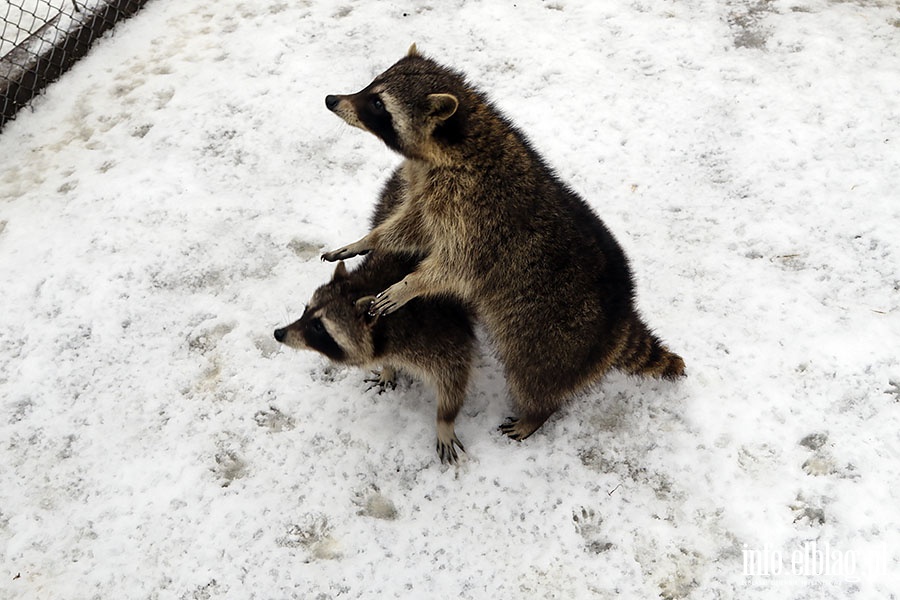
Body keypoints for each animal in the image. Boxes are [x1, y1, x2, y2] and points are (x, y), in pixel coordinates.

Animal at [274, 170, 474, 464]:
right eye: (305, 311)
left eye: (319, 327)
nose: (278, 333)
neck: (367, 284)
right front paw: (389, 367)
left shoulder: (437, 331)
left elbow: (455, 369)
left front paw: (445, 419)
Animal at [322, 45, 684, 440]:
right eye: (372, 85)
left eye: (377, 104)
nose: (331, 99)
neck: (455, 147)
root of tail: (622, 319)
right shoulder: (430, 194)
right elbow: (412, 228)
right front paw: (369, 238)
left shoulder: (475, 217)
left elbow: (454, 266)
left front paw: (409, 284)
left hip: (553, 338)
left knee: (533, 377)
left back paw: (536, 414)